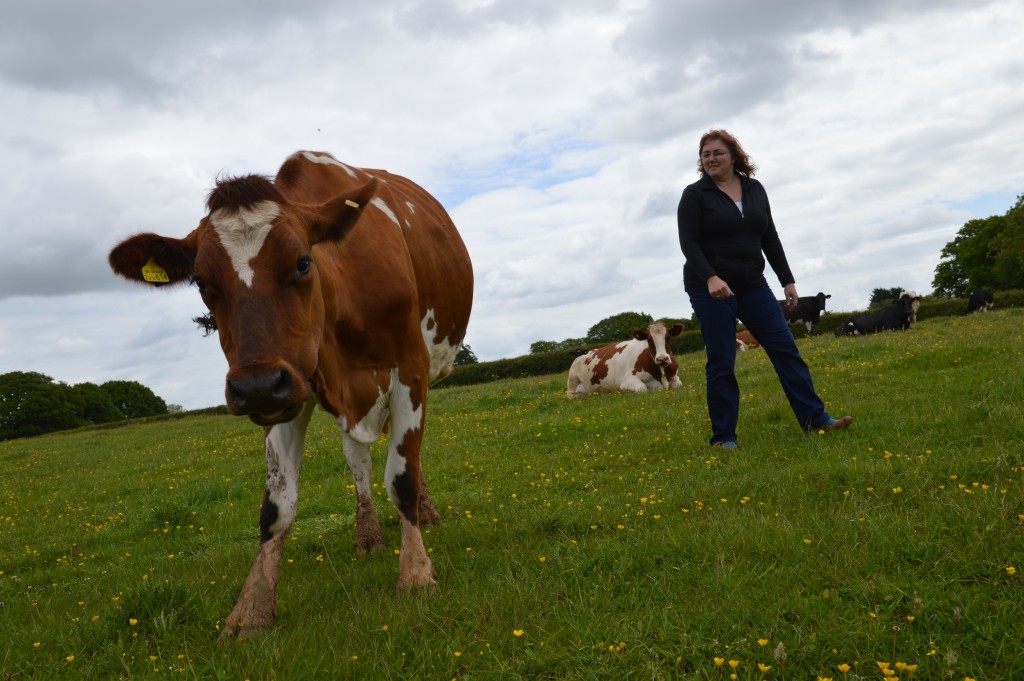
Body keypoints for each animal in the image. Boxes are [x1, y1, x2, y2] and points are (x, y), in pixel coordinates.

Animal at [105, 150, 473, 639]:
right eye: (201, 283)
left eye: (302, 263)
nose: (255, 386)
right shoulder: (287, 390)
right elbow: (276, 506)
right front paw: (251, 611)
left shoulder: (409, 368)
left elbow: (403, 476)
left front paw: (415, 575)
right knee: (359, 461)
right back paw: (368, 533)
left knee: (404, 458)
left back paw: (424, 516)